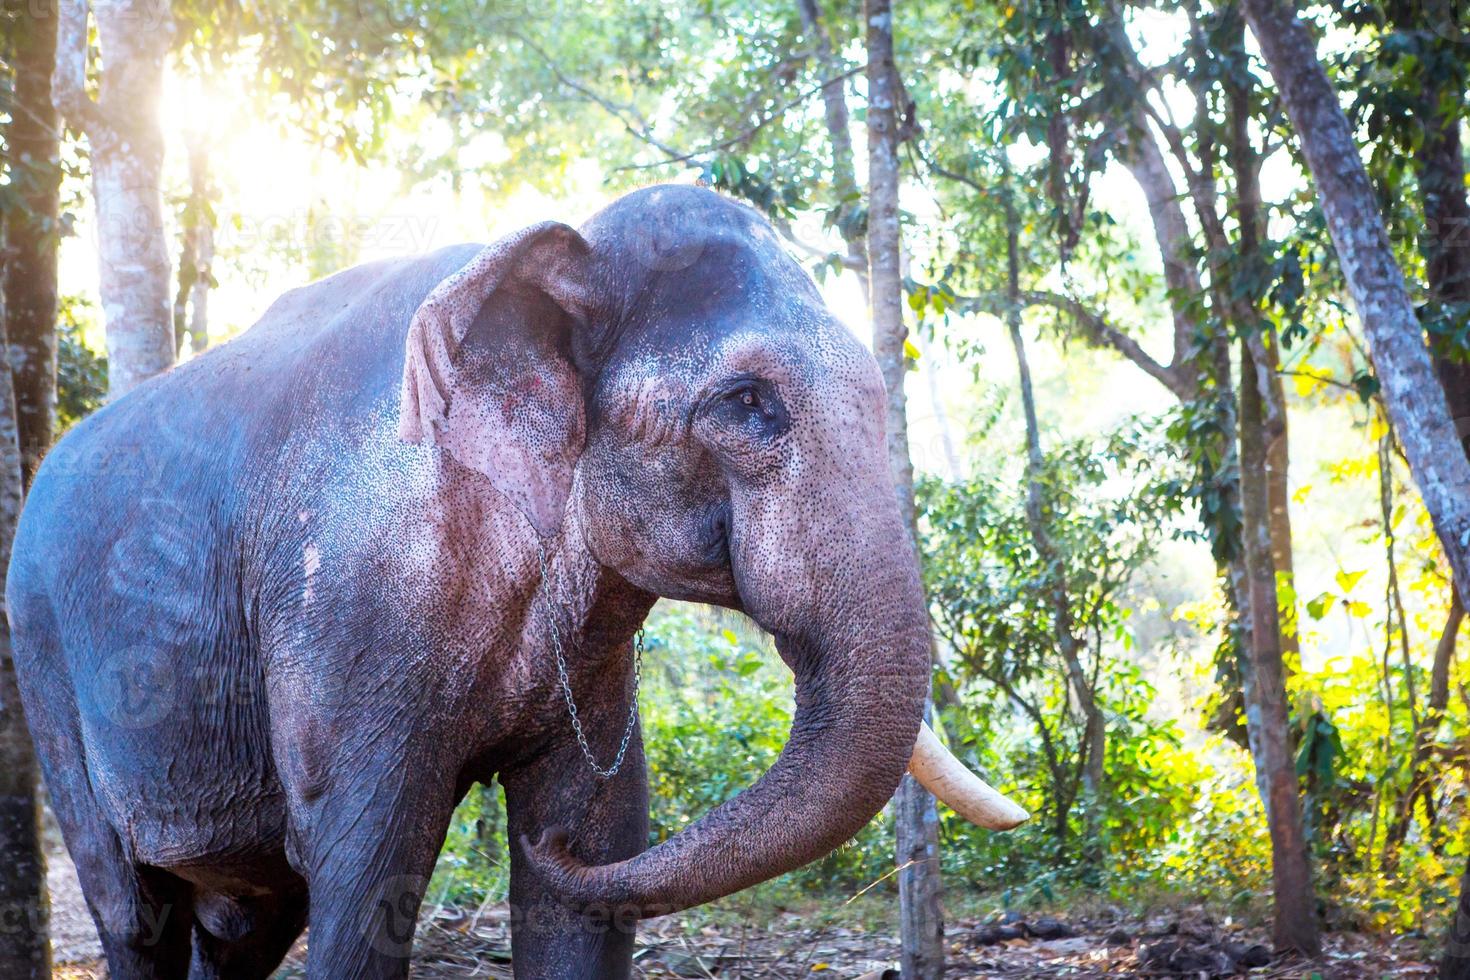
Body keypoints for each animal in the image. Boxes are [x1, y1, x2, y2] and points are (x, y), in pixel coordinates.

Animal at [8, 185, 1023, 980]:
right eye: (748, 404)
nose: (534, 841)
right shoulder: (346, 614)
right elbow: (365, 868)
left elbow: (597, 856)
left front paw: (558, 843)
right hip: (44, 662)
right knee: (136, 914)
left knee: (244, 925)